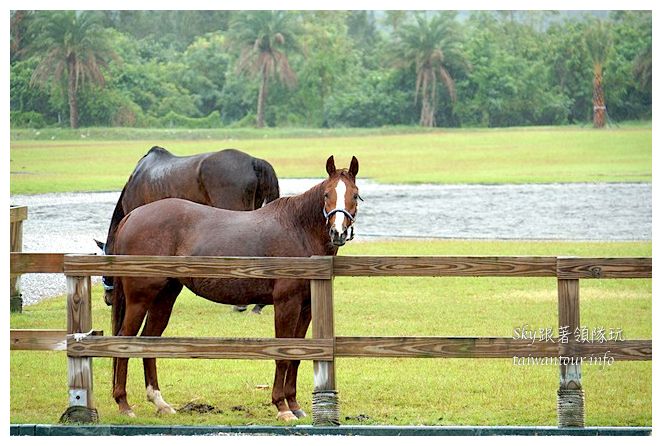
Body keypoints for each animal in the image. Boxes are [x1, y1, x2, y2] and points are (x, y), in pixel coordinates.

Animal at [113, 155, 364, 420]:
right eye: (326, 194)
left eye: (355, 194)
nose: (337, 232)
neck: (298, 229)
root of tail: (132, 216)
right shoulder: (286, 304)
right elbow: (282, 355)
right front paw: (282, 407)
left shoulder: (306, 308)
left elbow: (296, 355)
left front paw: (294, 405)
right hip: (140, 298)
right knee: (124, 339)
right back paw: (124, 403)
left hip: (165, 297)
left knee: (149, 341)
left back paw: (160, 402)